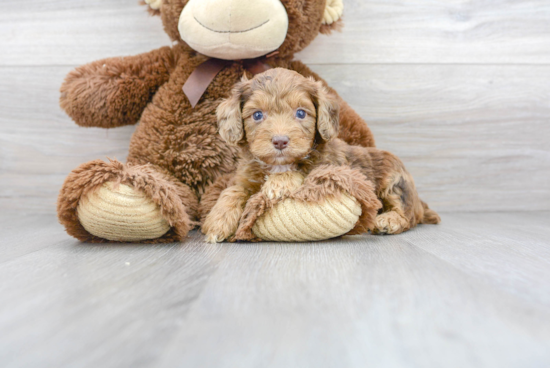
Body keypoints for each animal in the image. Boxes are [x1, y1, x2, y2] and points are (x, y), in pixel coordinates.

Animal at [203, 68, 440, 243]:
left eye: (301, 113)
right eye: (257, 115)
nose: (280, 141)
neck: (278, 164)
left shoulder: (328, 169)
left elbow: (297, 175)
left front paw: (276, 184)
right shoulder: (246, 178)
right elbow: (232, 191)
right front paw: (217, 221)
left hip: (395, 180)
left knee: (407, 213)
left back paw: (389, 221)